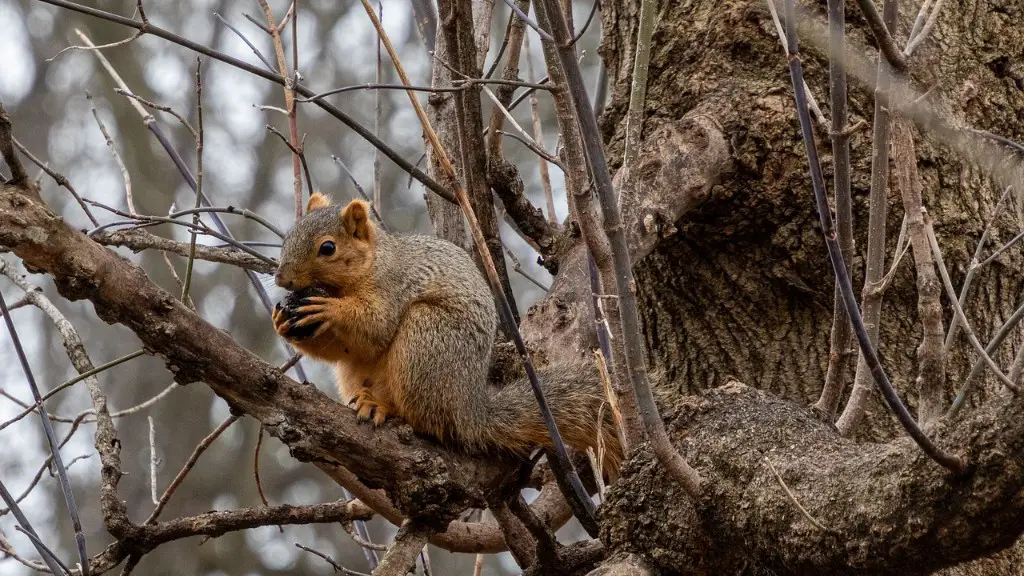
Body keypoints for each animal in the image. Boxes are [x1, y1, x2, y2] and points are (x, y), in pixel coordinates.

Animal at [272, 192, 622, 475]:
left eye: (327, 248)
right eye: (288, 237)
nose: (280, 279)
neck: (370, 264)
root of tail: (470, 410)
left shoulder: (393, 287)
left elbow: (375, 328)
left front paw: (330, 310)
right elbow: (345, 348)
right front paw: (281, 320)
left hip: (425, 342)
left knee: (423, 419)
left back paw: (383, 407)